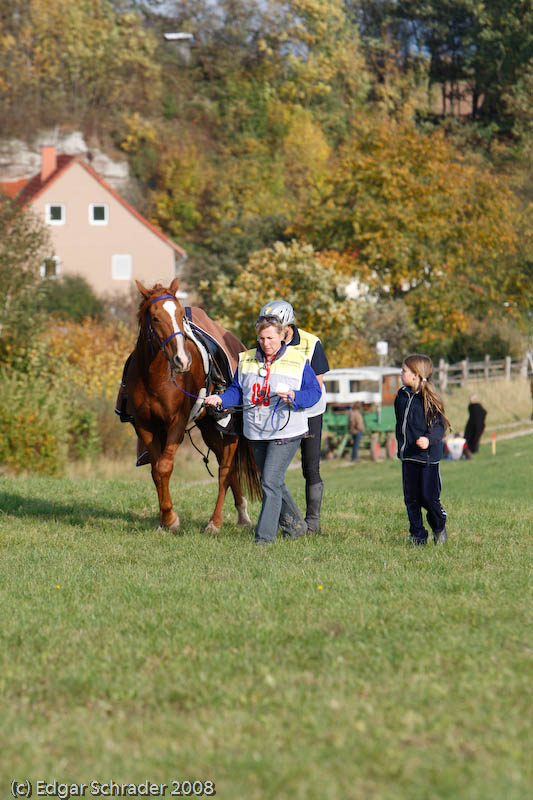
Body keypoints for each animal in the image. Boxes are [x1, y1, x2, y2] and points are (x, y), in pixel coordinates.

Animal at [123, 278, 260, 536]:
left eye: (180, 314)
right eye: (155, 318)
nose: (182, 361)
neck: (155, 377)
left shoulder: (176, 423)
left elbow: (164, 467)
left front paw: (171, 519)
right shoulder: (144, 426)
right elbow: (156, 471)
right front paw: (165, 519)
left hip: (229, 430)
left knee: (225, 470)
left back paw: (215, 522)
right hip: (208, 427)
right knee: (227, 467)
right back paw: (242, 514)